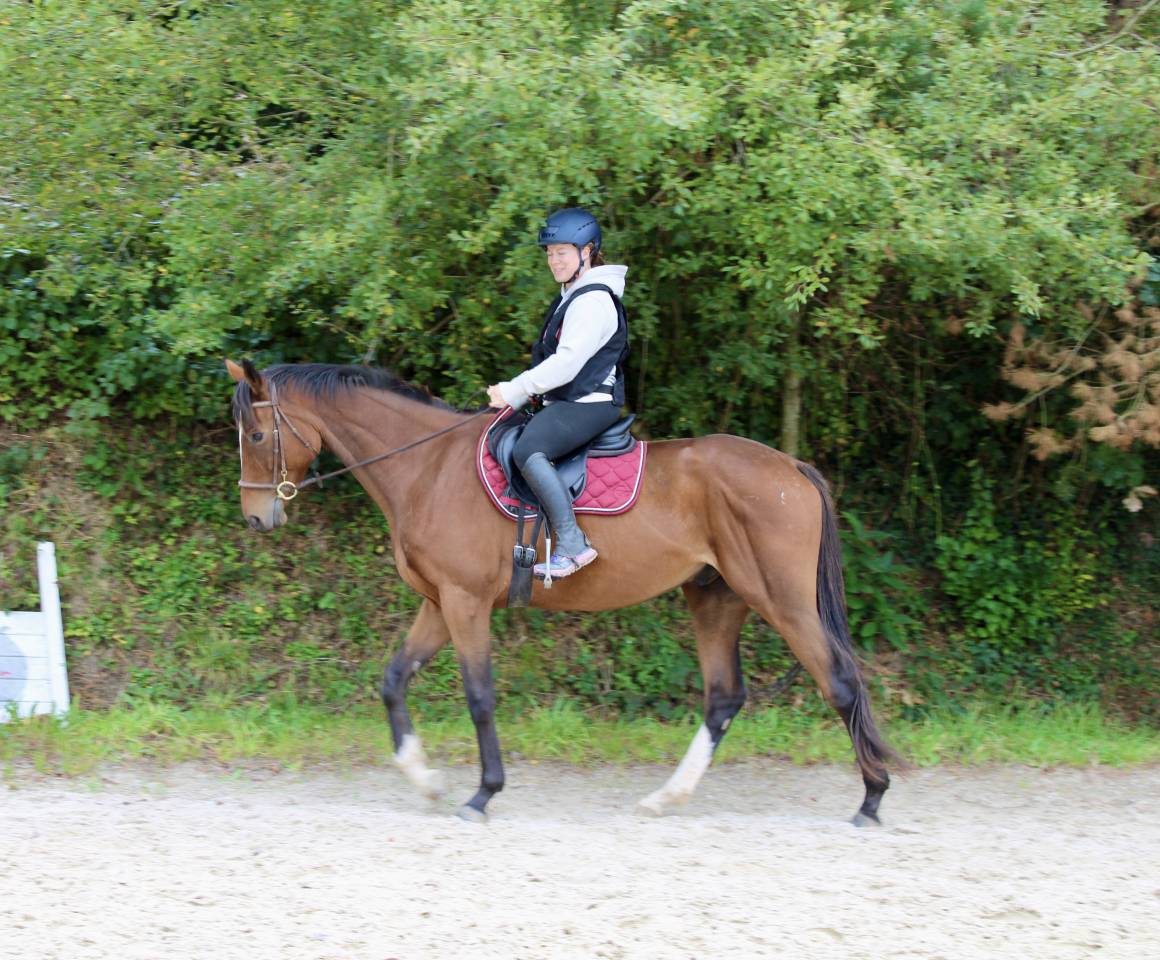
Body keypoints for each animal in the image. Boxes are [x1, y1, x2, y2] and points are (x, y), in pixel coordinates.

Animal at [226, 359, 897, 824]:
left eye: (256, 436)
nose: (257, 519)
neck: (427, 469)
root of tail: (791, 469)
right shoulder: (440, 602)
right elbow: (393, 681)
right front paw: (425, 778)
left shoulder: (466, 602)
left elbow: (479, 697)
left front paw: (482, 793)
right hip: (714, 597)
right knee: (724, 698)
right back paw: (667, 797)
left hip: (782, 600)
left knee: (840, 681)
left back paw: (871, 799)